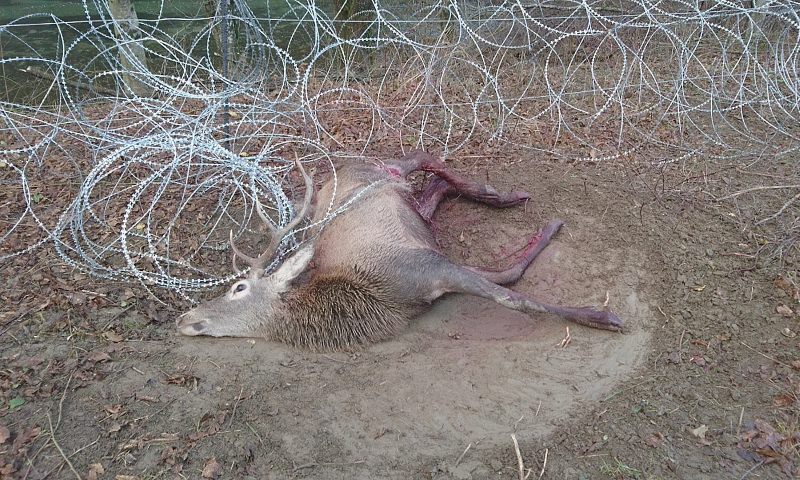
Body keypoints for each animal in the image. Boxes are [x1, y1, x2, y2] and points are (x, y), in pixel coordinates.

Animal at [178, 150, 620, 348]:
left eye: (238, 288)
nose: (185, 317)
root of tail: (341, 168)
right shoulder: (436, 266)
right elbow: (508, 276)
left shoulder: (429, 265)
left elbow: (514, 297)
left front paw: (601, 316)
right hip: (412, 208)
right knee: (431, 187)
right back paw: (490, 194)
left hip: (383, 172)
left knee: (419, 157)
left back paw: (501, 194)